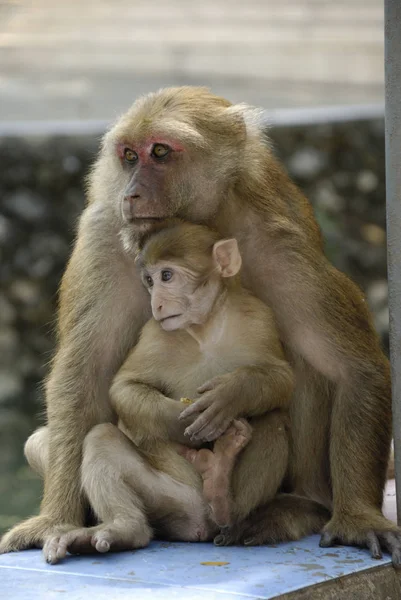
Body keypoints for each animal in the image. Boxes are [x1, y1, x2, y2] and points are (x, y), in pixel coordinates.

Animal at [26, 221, 292, 564]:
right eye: (150, 281)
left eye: (167, 276)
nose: (157, 303)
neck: (204, 329)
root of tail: (202, 524)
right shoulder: (154, 333)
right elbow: (125, 387)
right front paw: (181, 421)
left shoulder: (259, 317)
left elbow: (282, 377)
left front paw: (230, 396)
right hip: (174, 500)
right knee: (102, 438)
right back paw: (124, 529)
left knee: (273, 417)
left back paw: (225, 498)